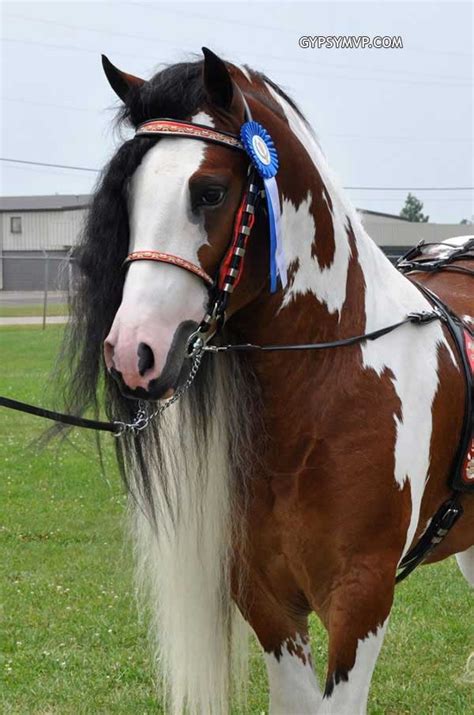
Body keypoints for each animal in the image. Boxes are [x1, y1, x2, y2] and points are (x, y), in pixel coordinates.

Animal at [63, 47, 474, 712]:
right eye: (127, 195)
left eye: (209, 191)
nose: (131, 352)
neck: (330, 388)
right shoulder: (268, 601)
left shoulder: (361, 598)